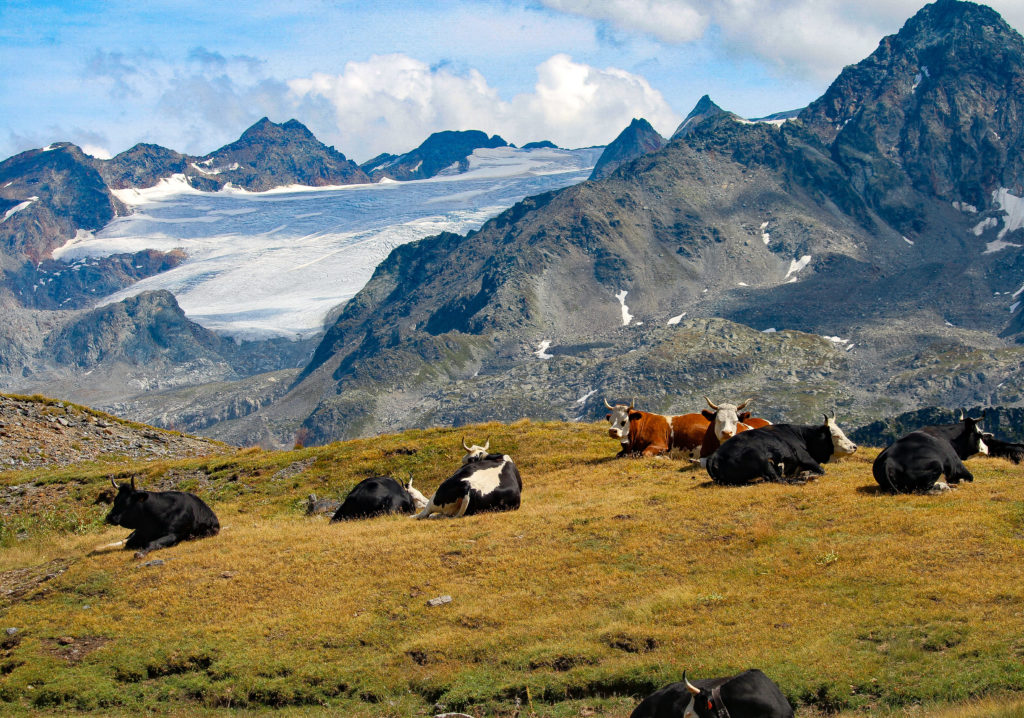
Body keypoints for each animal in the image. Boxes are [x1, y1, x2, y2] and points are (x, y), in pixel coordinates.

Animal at [705, 413, 858, 485]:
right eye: (835, 435)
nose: (854, 447)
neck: (803, 436)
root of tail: (715, 456)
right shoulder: (804, 457)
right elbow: (822, 471)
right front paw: (808, 474)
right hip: (761, 459)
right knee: (779, 480)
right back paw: (803, 479)